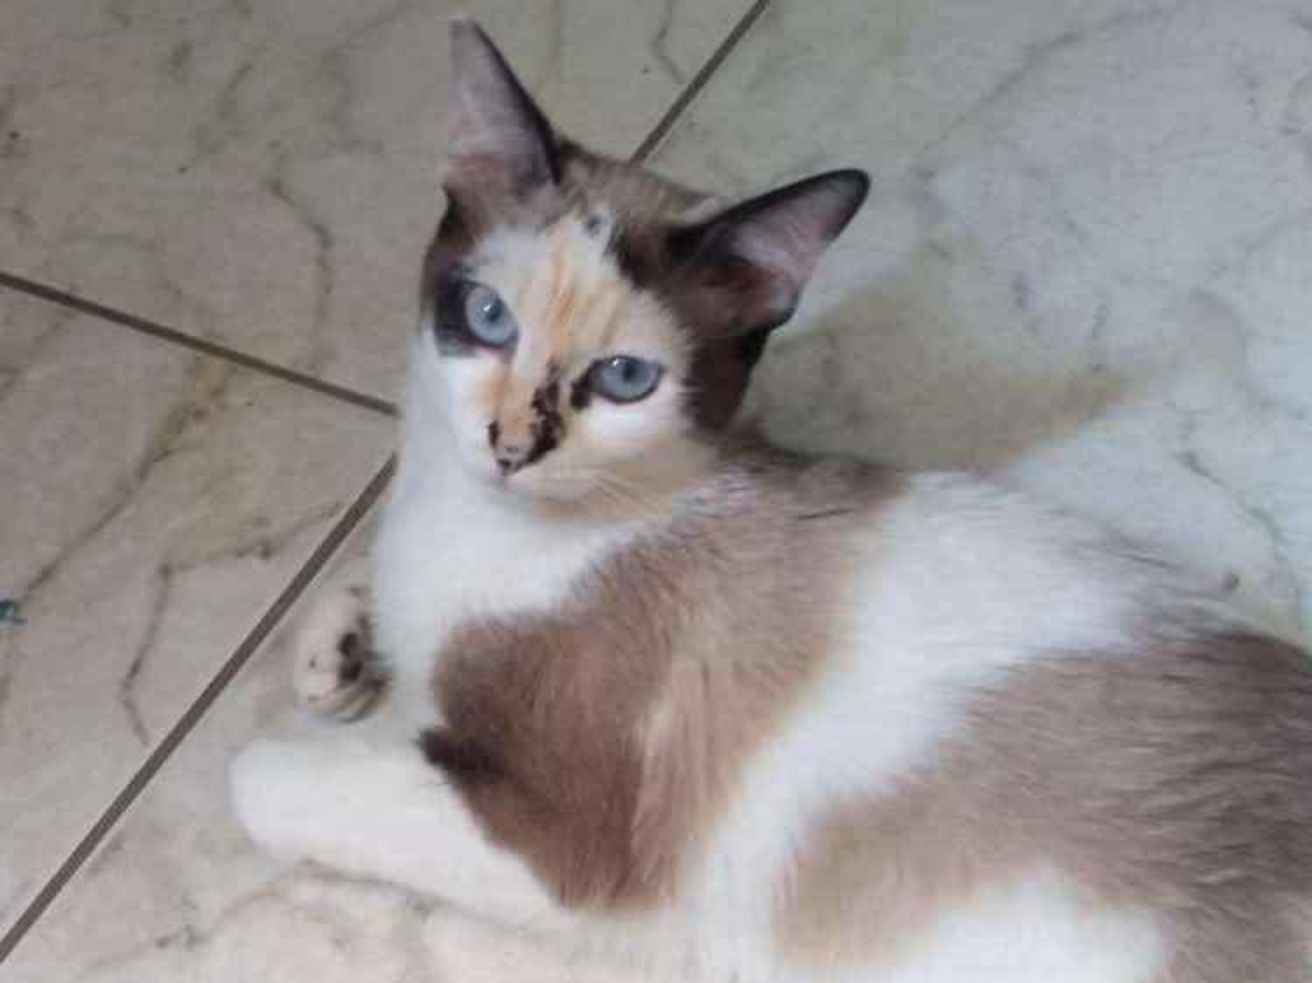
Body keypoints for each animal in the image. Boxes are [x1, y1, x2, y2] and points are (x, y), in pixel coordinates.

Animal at [230, 18, 1312, 983]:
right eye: (487, 317)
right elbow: (354, 604)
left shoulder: (557, 838)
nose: (511, 447)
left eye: (625, 379)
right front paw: (342, 649)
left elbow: (269, 773)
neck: (470, 518)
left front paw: (289, 734)